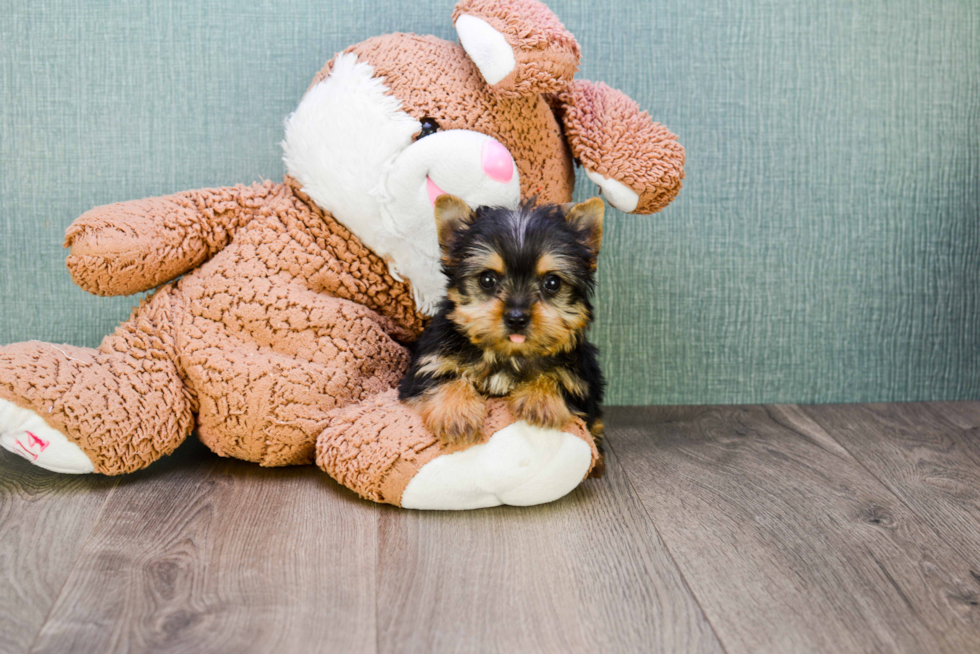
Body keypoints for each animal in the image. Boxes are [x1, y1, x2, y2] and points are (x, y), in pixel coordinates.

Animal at [398, 196, 604, 472]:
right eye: (487, 279)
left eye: (552, 283)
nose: (516, 318)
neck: (508, 353)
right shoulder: (428, 362)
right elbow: (443, 376)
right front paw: (457, 413)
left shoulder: (583, 377)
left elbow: (561, 375)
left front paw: (540, 400)